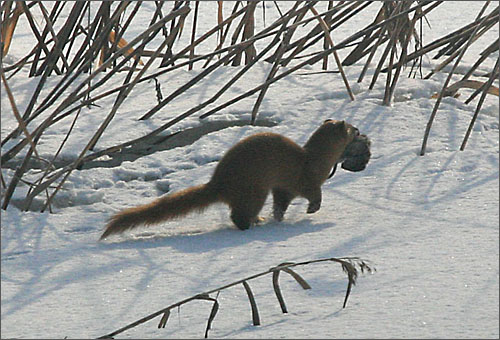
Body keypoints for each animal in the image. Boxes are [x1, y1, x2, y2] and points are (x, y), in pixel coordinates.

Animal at [99, 119, 364, 239]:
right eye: (353, 129)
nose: (360, 130)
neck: (315, 159)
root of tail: (218, 182)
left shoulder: (281, 187)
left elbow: (281, 202)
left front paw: (278, 218)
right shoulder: (304, 179)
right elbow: (313, 194)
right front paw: (312, 209)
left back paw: (259, 219)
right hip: (255, 188)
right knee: (238, 215)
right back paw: (250, 226)